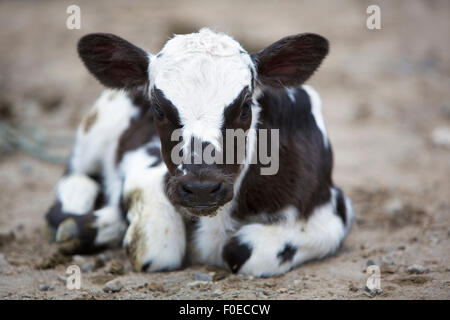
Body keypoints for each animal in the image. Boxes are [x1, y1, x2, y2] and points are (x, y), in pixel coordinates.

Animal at [46, 28, 356, 278]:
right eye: (157, 108)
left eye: (246, 106)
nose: (201, 188)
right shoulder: (147, 171)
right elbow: (157, 249)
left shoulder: (332, 212)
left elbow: (240, 250)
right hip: (96, 126)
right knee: (70, 187)